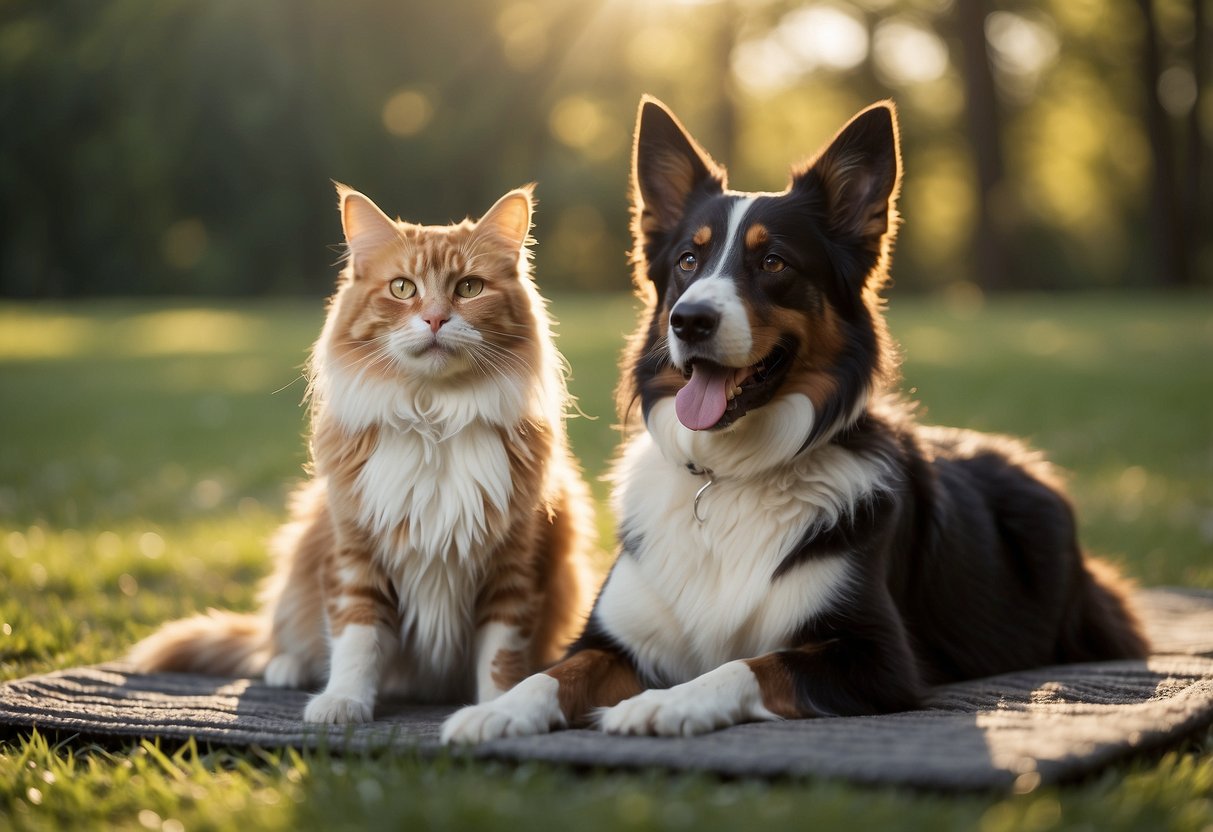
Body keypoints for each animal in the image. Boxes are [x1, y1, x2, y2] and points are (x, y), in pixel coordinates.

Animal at [131, 181, 596, 722]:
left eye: (468, 288)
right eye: (403, 289)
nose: (435, 318)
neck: (434, 421)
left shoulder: (513, 566)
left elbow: (500, 659)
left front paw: (494, 711)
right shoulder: (355, 551)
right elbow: (357, 639)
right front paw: (342, 703)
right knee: (277, 641)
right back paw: (289, 668)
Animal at [439, 96, 1145, 742]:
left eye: (773, 261)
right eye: (688, 262)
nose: (688, 320)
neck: (728, 476)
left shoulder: (877, 657)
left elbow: (744, 665)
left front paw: (663, 704)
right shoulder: (609, 637)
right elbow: (553, 672)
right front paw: (495, 711)